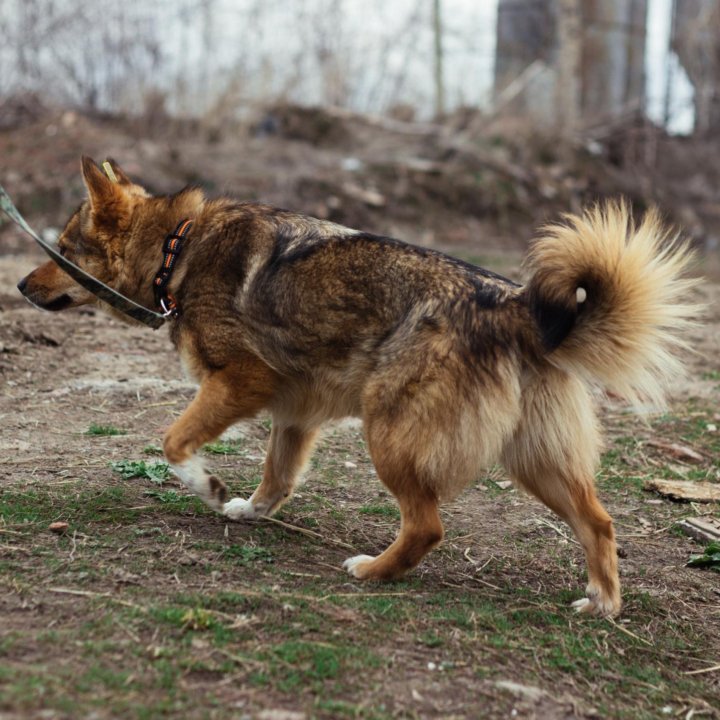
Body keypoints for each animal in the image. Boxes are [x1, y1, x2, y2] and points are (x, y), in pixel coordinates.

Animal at [16, 159, 696, 620]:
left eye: (65, 248)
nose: (20, 286)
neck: (178, 248)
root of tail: (511, 306)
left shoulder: (241, 381)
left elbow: (174, 441)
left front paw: (207, 487)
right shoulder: (294, 414)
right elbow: (277, 477)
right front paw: (249, 509)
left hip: (389, 435)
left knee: (427, 527)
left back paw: (373, 571)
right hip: (536, 461)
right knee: (599, 522)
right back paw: (602, 603)